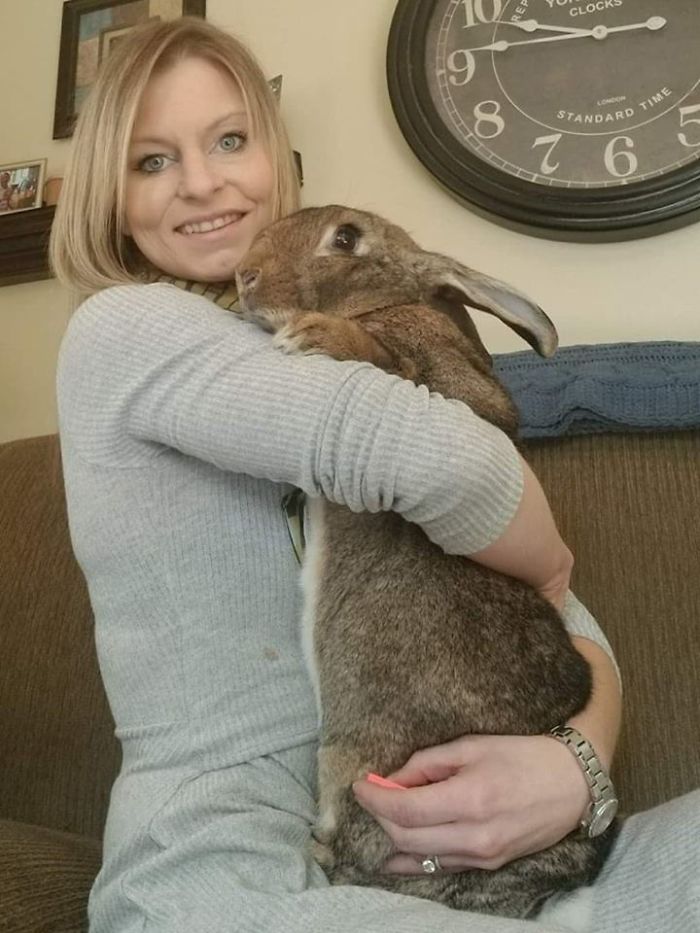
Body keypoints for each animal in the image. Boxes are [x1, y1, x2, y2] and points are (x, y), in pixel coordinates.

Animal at [234, 205, 617, 920]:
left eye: (346, 239)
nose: (244, 274)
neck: (384, 299)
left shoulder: (462, 400)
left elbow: (399, 365)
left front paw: (317, 337)